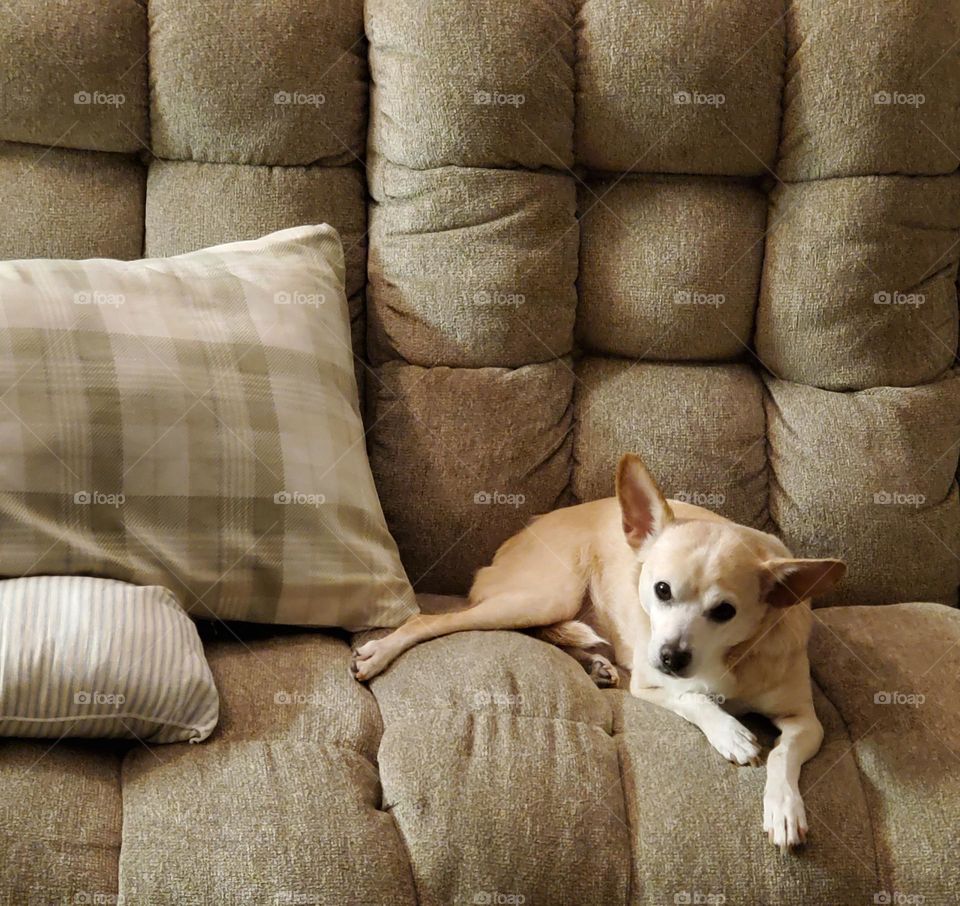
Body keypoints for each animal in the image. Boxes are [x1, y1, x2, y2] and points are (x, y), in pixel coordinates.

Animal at [350, 456, 840, 852]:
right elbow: (694, 699)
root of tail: (521, 531)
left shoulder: (806, 721)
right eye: (662, 590)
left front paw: (784, 808)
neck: (729, 659)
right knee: (431, 622)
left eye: (724, 612)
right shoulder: (650, 682)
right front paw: (730, 733)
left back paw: (595, 664)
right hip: (547, 596)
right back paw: (378, 652)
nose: (670, 657)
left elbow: (782, 755)